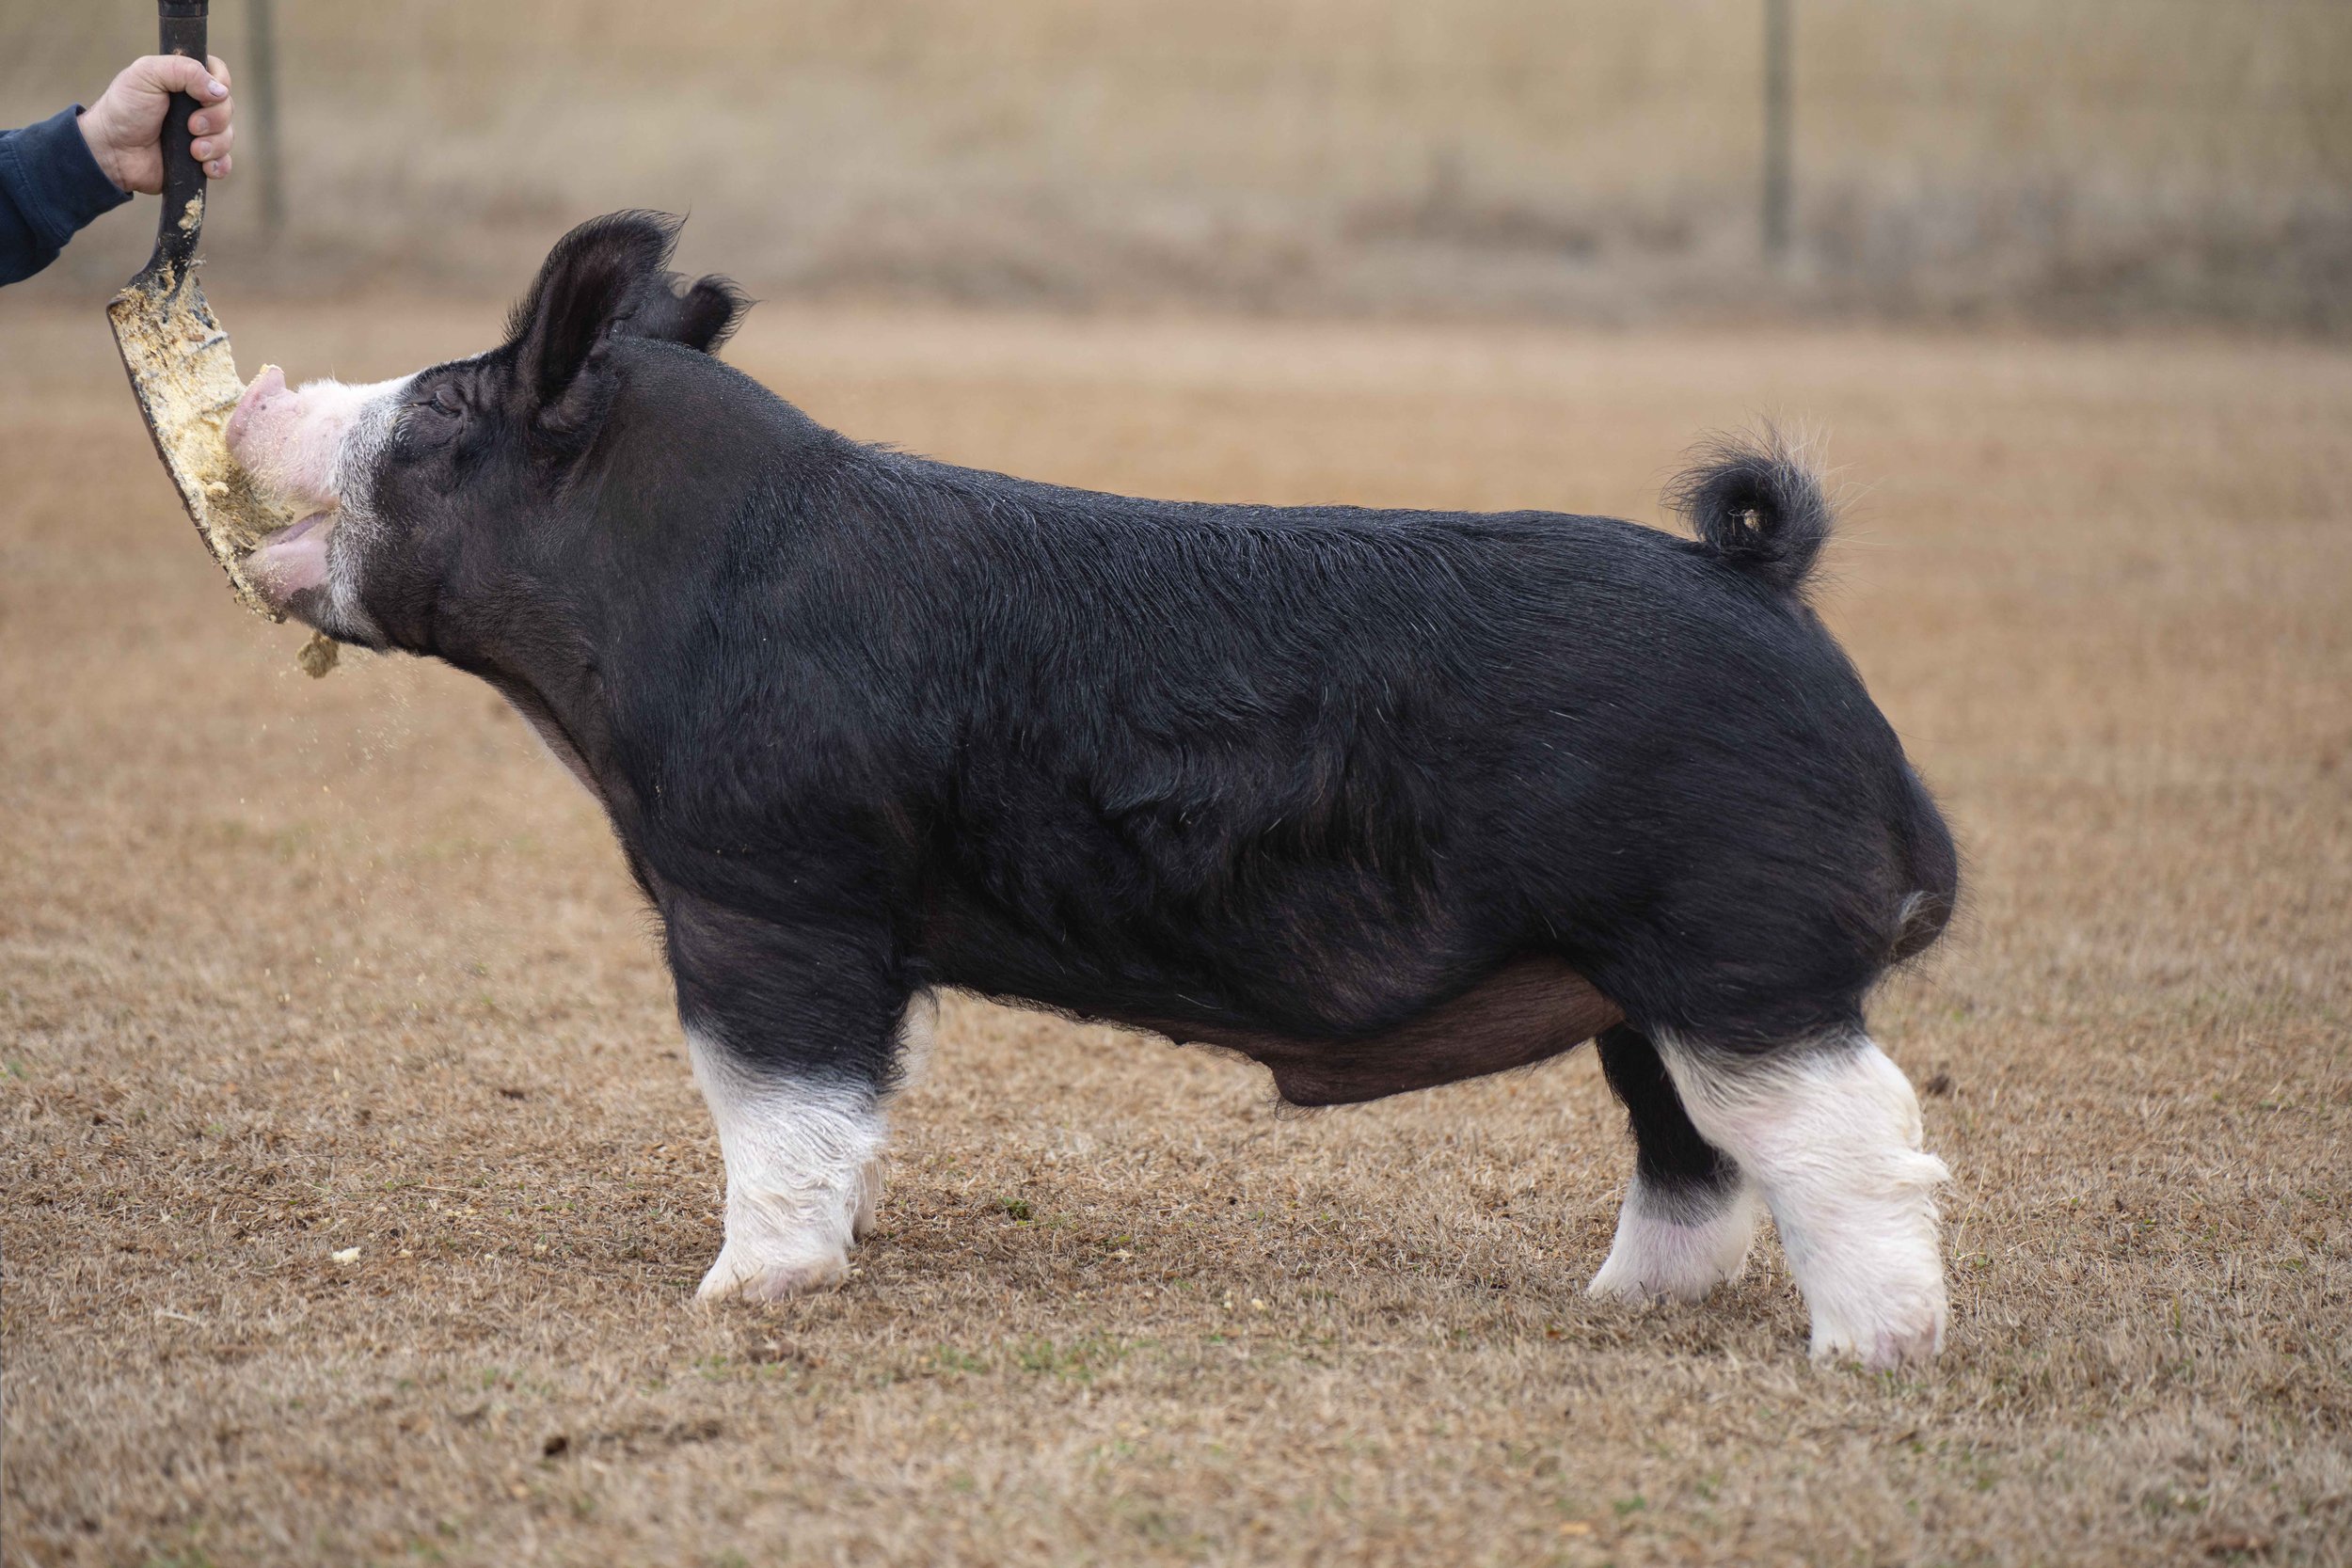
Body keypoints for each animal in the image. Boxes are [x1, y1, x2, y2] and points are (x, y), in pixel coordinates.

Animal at [223, 212, 1959, 1367]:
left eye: (446, 410)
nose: (261, 389)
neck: (671, 602)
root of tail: (1766, 585)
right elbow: (855, 1100)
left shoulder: (769, 887)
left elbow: (771, 1095)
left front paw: (738, 1294)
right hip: (1639, 982)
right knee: (1695, 1151)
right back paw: (1613, 1307)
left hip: (1736, 945)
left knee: (1857, 1136)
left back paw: (1871, 1355)